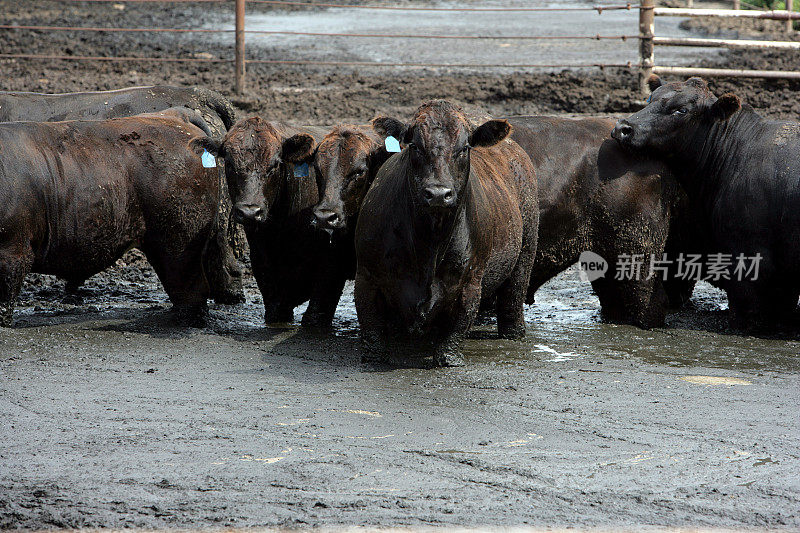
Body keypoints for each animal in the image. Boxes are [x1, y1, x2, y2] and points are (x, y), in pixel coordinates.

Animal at [354, 100, 536, 366]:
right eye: (414, 145)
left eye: (465, 147)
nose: (439, 194)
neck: (429, 244)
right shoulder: (366, 276)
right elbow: (370, 328)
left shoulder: (471, 280)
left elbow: (458, 326)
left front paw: (449, 357)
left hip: (525, 252)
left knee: (513, 299)